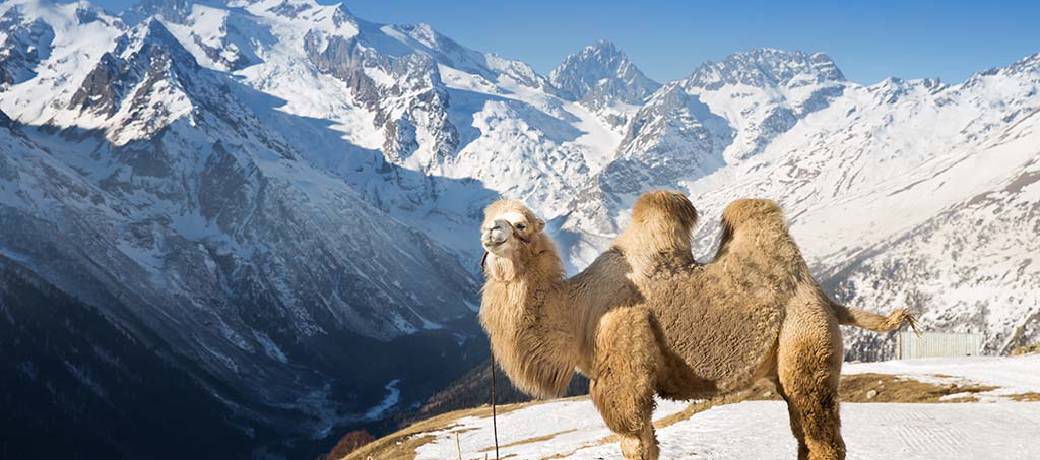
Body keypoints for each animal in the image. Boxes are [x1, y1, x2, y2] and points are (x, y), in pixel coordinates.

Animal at [477, 191, 916, 460]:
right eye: (489, 217)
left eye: (522, 225)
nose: (490, 232)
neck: (580, 309)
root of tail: (822, 295)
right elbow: (649, 442)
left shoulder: (624, 362)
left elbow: (635, 440)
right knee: (804, 433)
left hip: (806, 338)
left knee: (822, 433)